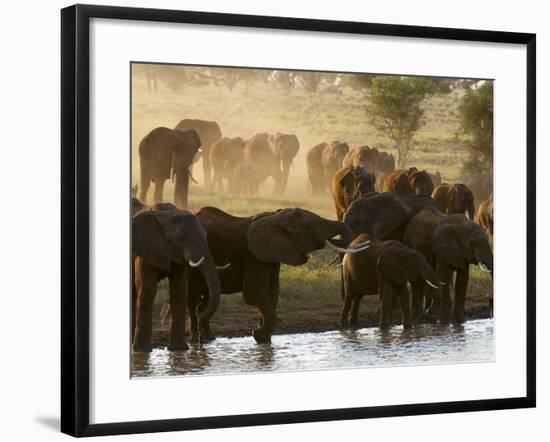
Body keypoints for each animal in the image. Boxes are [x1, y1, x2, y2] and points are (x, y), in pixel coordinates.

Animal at [132, 204, 224, 352]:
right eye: (180, 238)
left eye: (205, 236)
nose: (199, 311)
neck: (166, 214)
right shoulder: (144, 250)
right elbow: (147, 290)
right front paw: (142, 351)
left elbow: (179, 291)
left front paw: (179, 350)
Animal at [188, 205, 374, 344]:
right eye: (308, 227)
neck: (275, 216)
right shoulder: (253, 256)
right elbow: (254, 293)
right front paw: (259, 335)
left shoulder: (273, 255)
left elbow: (272, 292)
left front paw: (264, 339)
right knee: (193, 300)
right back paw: (198, 339)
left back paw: (207, 339)